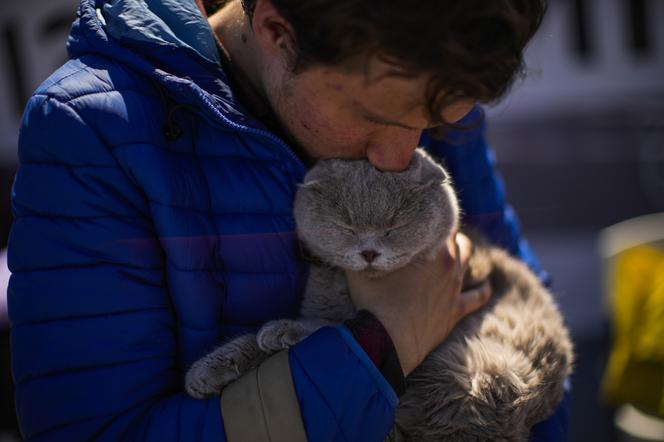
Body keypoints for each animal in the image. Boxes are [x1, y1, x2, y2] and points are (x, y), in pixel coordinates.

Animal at [184, 149, 572, 442]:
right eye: (346, 226)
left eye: (393, 226)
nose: (369, 252)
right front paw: (210, 368)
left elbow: (330, 326)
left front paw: (279, 331)